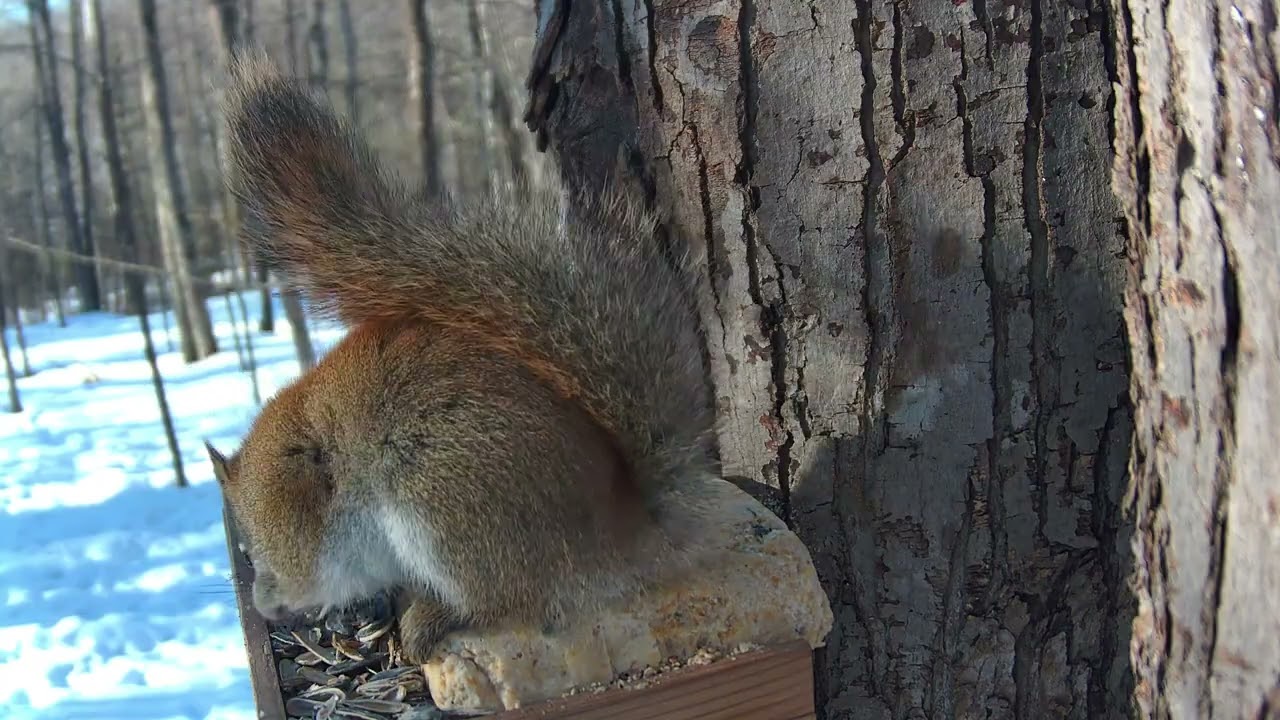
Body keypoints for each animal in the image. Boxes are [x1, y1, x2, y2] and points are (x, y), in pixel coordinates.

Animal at [204, 54, 718, 664]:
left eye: (265, 542)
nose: (263, 606)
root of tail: (621, 531)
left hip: (441, 505)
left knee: (503, 600)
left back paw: (431, 618)